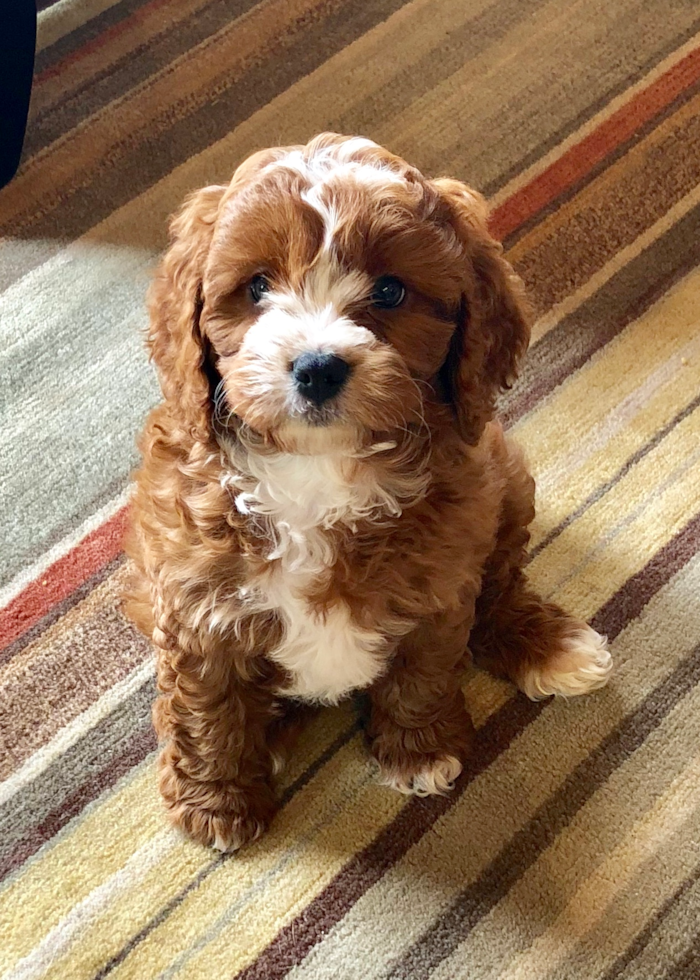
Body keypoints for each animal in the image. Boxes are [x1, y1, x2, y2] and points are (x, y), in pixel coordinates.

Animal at [126, 130, 612, 848]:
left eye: (389, 290)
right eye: (257, 286)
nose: (318, 367)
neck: (317, 471)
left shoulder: (439, 583)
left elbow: (423, 669)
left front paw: (420, 752)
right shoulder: (194, 606)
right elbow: (207, 708)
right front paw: (217, 804)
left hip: (504, 477)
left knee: (501, 583)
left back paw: (550, 645)